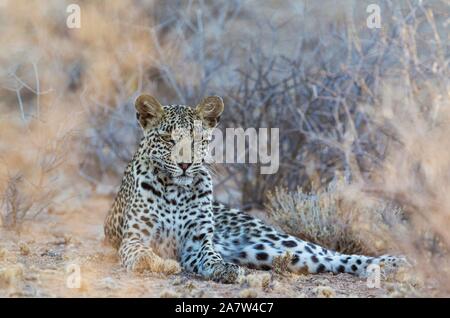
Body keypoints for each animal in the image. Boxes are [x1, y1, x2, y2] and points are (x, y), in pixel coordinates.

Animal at [103, 94, 406, 284]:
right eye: (168, 138)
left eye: (198, 138)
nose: (185, 164)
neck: (176, 191)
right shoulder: (135, 237)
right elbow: (141, 253)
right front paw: (158, 262)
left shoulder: (198, 242)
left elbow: (211, 256)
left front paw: (224, 269)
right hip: (263, 252)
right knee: (328, 262)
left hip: (274, 240)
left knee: (332, 255)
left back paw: (392, 262)